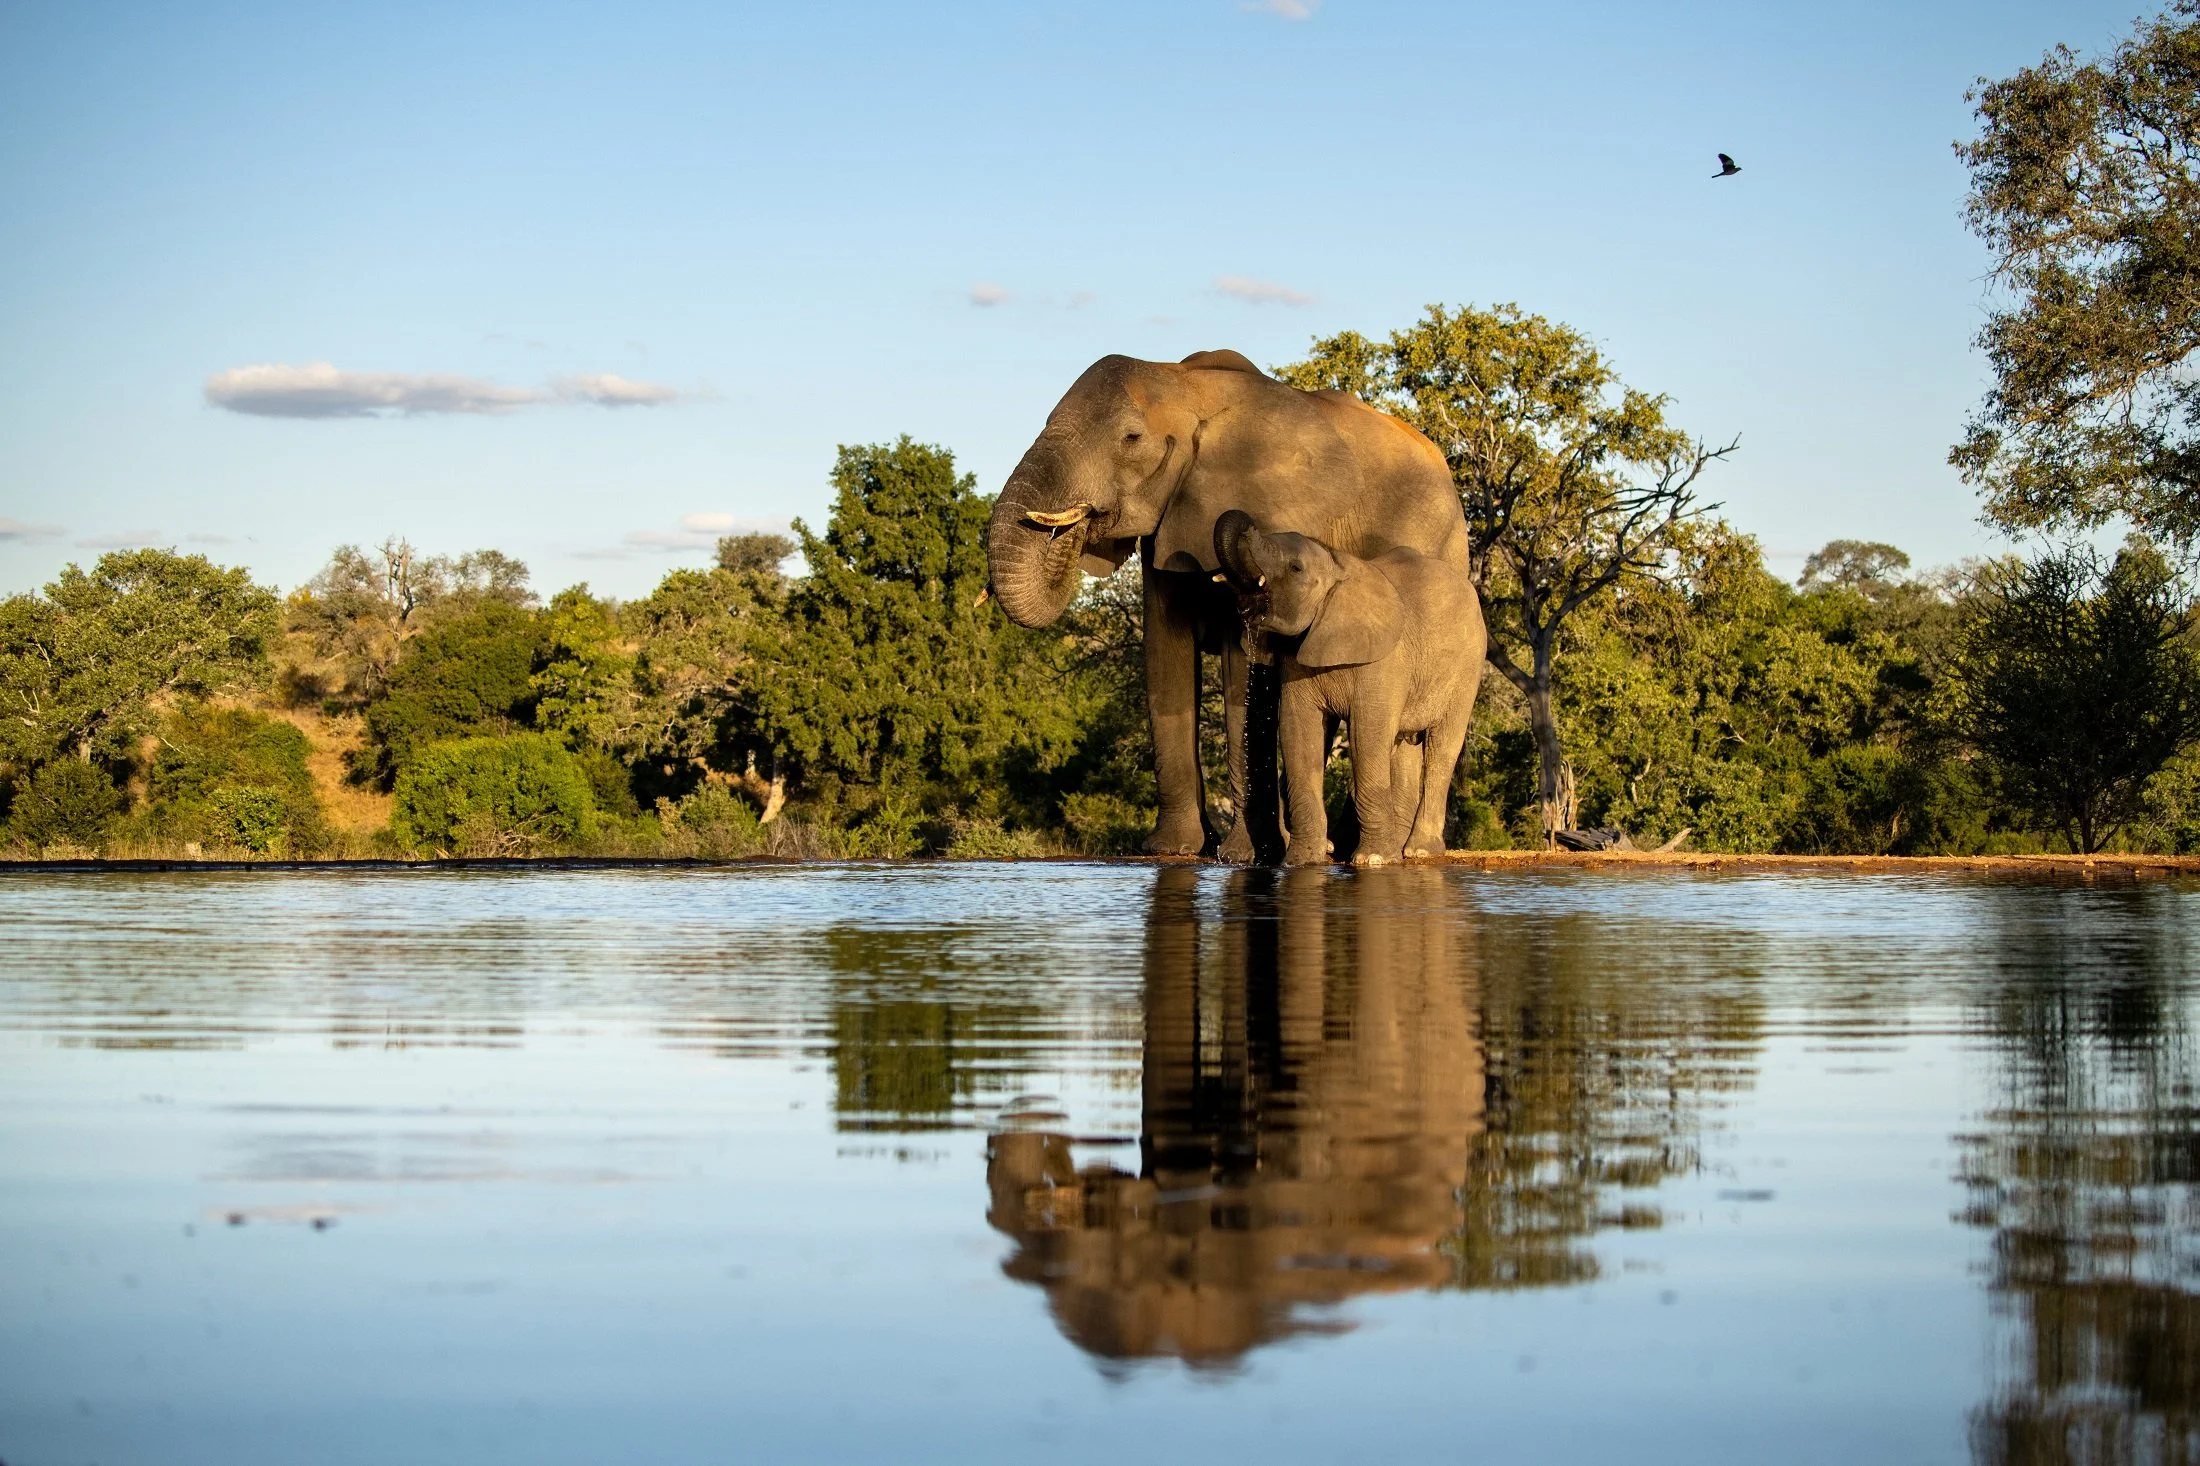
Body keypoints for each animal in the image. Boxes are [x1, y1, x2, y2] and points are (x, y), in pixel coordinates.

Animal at [1215, 510, 1485, 864]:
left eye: (1295, 568)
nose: (1248, 524)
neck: (1337, 565)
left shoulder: (1384, 659)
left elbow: (1367, 735)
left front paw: (1373, 860)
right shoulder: (1299, 660)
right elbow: (1298, 732)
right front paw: (1302, 860)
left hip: (1467, 669)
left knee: (1442, 747)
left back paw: (1419, 850)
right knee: (1406, 747)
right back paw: (1400, 847)